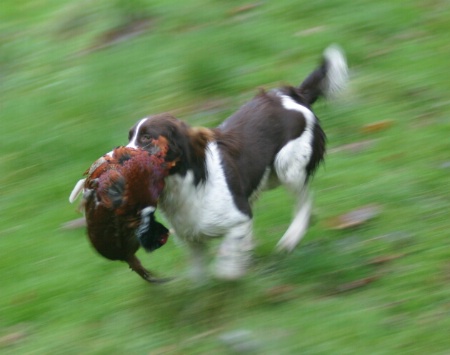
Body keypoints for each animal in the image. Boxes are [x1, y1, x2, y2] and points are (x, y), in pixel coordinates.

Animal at [125, 45, 348, 280]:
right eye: (129, 137)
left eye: (146, 138)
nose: (117, 156)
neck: (186, 183)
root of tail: (293, 95)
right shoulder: (191, 239)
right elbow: (199, 277)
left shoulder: (240, 218)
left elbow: (226, 267)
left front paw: (236, 268)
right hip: (270, 177)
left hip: (287, 167)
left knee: (304, 202)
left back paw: (290, 239)